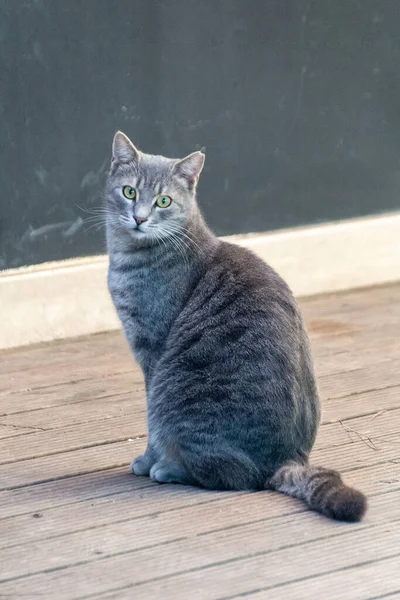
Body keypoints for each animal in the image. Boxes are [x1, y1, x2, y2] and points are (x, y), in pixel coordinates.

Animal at [105, 130, 366, 520]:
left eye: (163, 200)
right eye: (130, 192)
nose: (139, 218)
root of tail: (283, 461)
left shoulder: (153, 353)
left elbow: (151, 421)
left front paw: (150, 458)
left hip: (177, 390)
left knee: (232, 475)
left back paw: (170, 468)